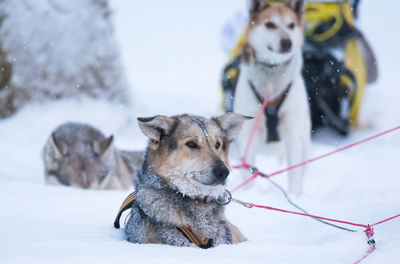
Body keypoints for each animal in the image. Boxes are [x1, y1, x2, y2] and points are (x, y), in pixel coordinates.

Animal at [234, 0, 310, 195]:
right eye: (269, 24)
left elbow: (294, 173)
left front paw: (293, 195)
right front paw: (250, 191)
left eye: (291, 25)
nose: (287, 42)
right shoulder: (249, 133)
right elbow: (248, 168)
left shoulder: (292, 133)